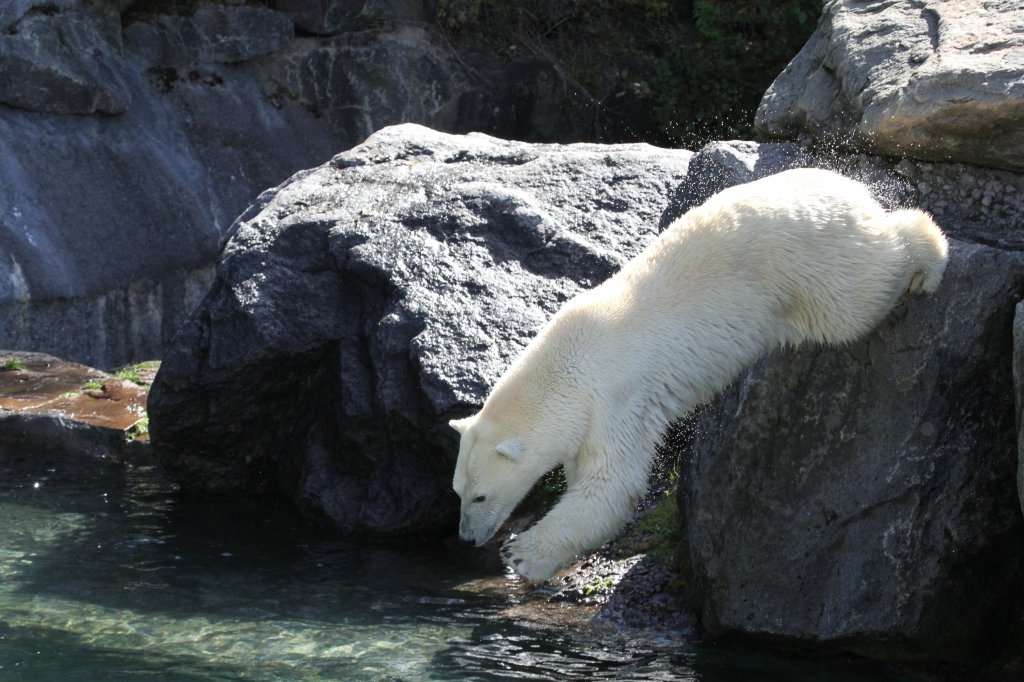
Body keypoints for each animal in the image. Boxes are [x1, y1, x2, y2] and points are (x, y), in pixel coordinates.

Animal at [452, 166, 946, 581]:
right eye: (457, 492)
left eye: (479, 496)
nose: (466, 538)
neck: (565, 365)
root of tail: (848, 186)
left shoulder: (615, 399)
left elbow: (612, 486)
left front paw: (521, 554)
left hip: (812, 261)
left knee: (860, 294)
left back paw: (929, 261)